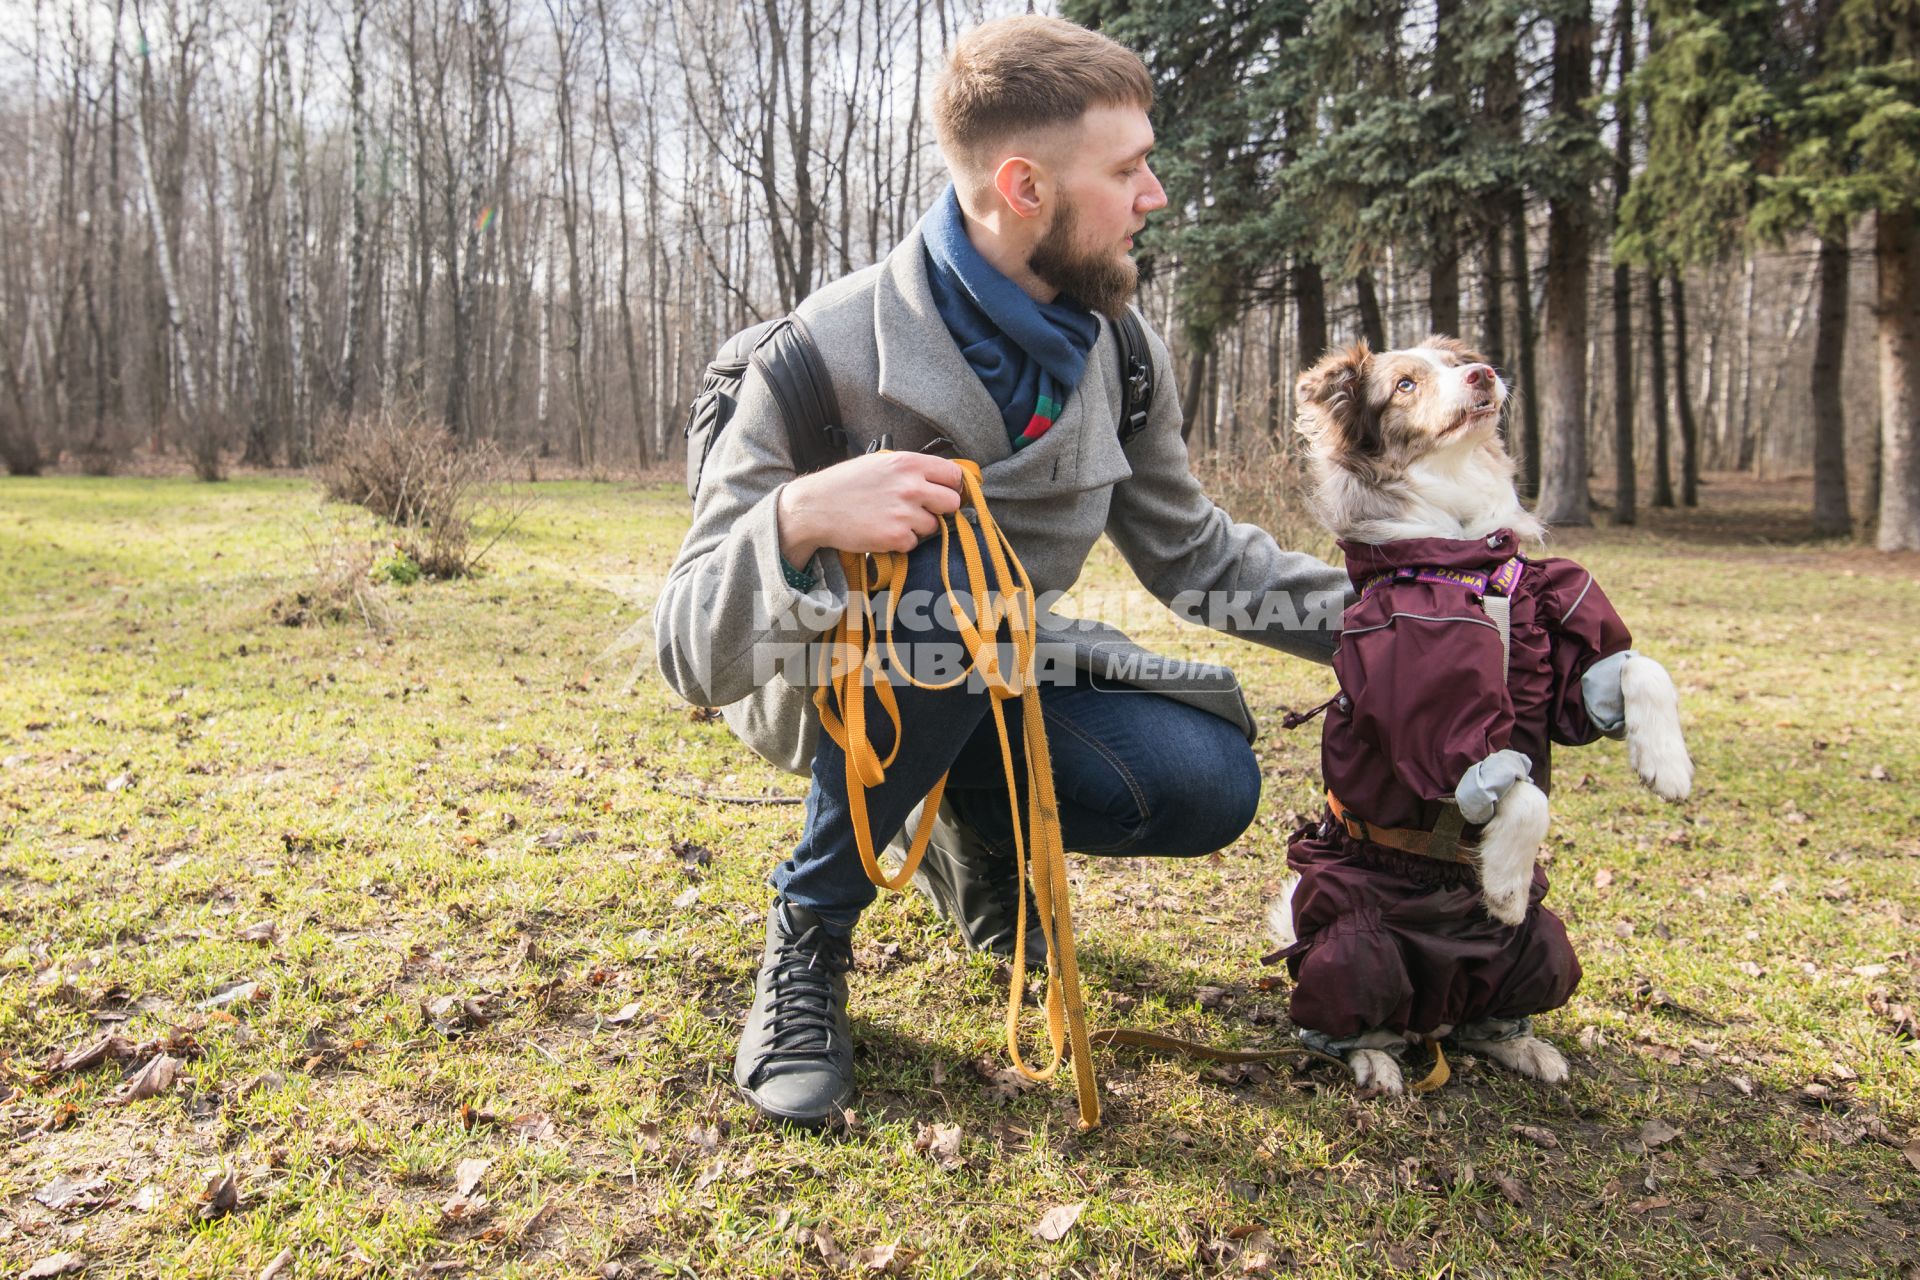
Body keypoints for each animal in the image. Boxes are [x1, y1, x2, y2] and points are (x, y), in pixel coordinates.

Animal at [1274, 337, 1697, 1090]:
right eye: (1405, 383)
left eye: (1455, 360)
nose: (1485, 373)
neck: (1469, 555)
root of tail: (1432, 1019)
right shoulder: (1425, 700)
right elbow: (1519, 790)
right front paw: (1501, 884)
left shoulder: (1556, 644)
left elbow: (1634, 668)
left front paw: (1667, 765)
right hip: (1356, 946)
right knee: (1348, 1009)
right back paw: (1373, 1056)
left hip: (1539, 946)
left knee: (1495, 1002)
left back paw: (1517, 1042)